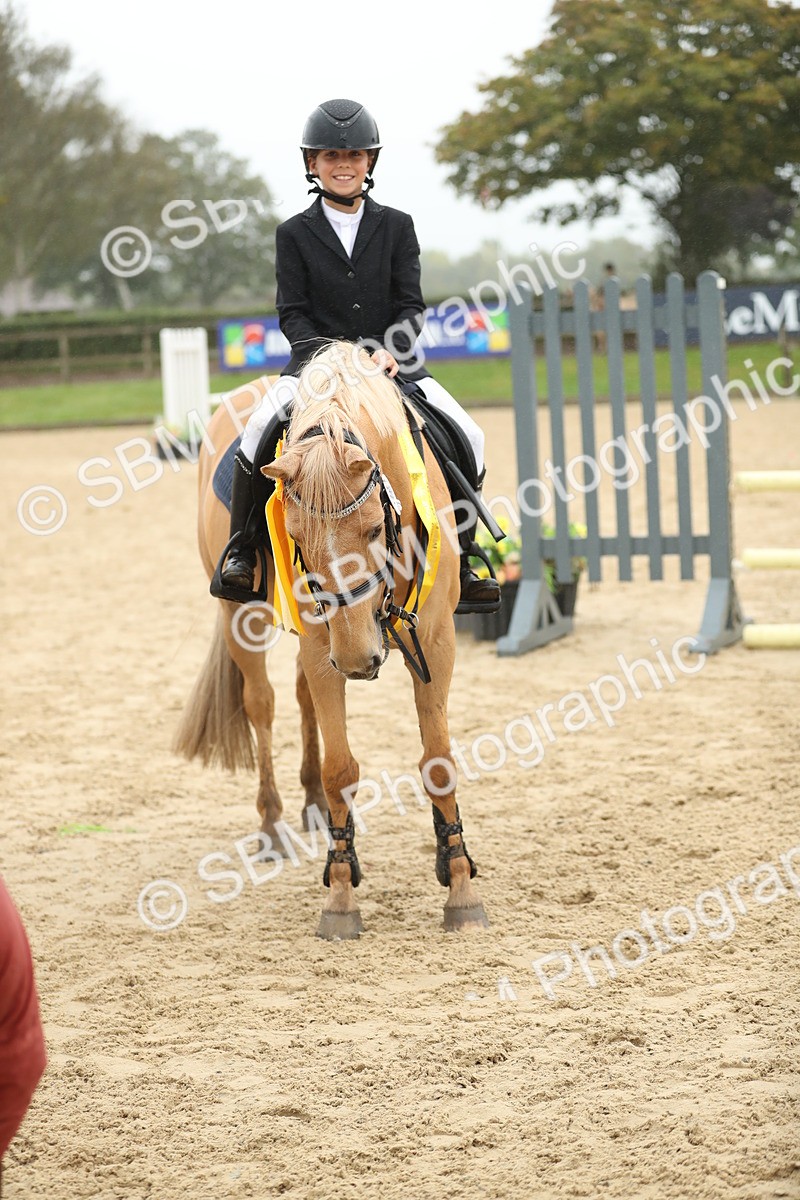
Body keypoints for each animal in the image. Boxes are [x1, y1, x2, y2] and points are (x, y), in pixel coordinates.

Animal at [174, 342, 489, 939]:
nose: (360, 658)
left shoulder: (435, 639)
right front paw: (341, 897)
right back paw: (274, 824)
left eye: (374, 529)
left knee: (301, 702)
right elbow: (341, 768)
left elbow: (438, 761)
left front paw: (459, 884)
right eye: (294, 536)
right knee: (262, 704)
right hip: (242, 616)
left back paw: (313, 806)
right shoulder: (324, 646)